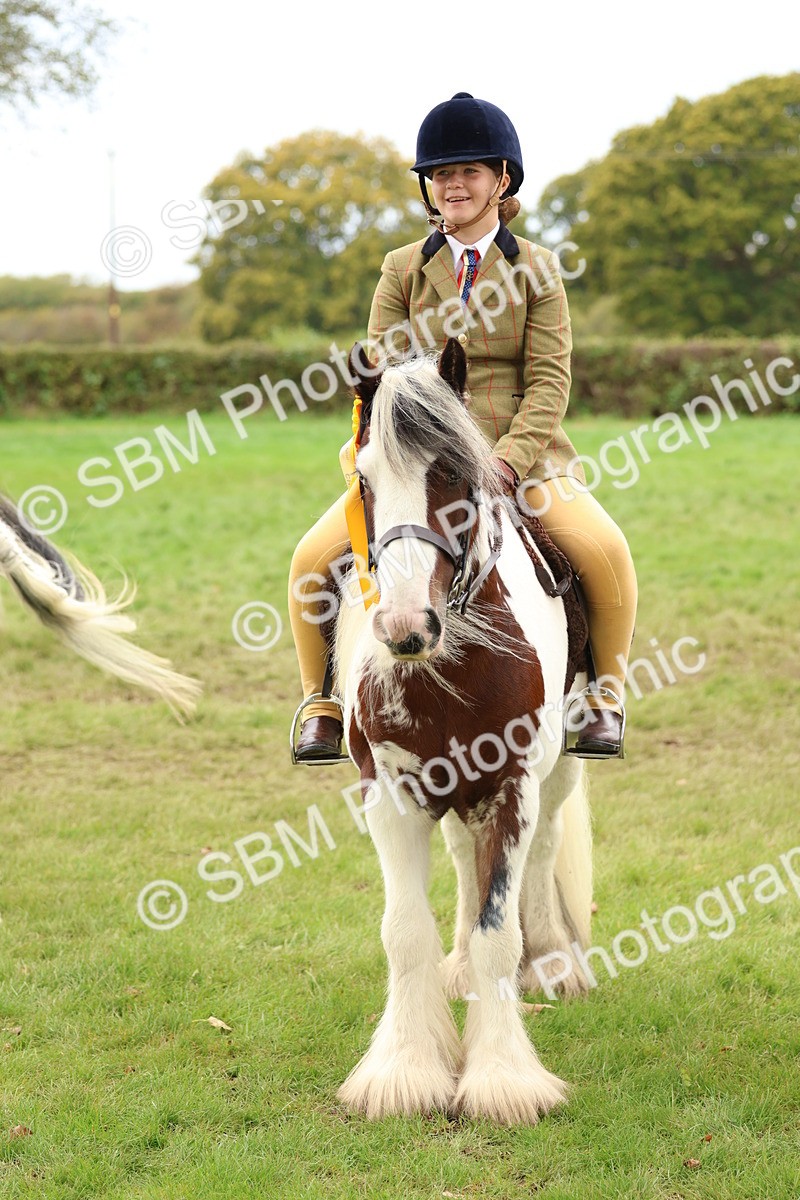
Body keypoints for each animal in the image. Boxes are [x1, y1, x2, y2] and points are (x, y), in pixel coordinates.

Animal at [332, 339, 593, 1126]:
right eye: (364, 480)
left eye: (452, 471)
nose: (403, 628)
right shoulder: (389, 792)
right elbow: (404, 932)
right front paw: (404, 1069)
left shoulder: (511, 784)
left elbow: (497, 932)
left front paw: (503, 1077)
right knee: (462, 860)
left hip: (559, 768)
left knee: (542, 850)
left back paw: (555, 963)